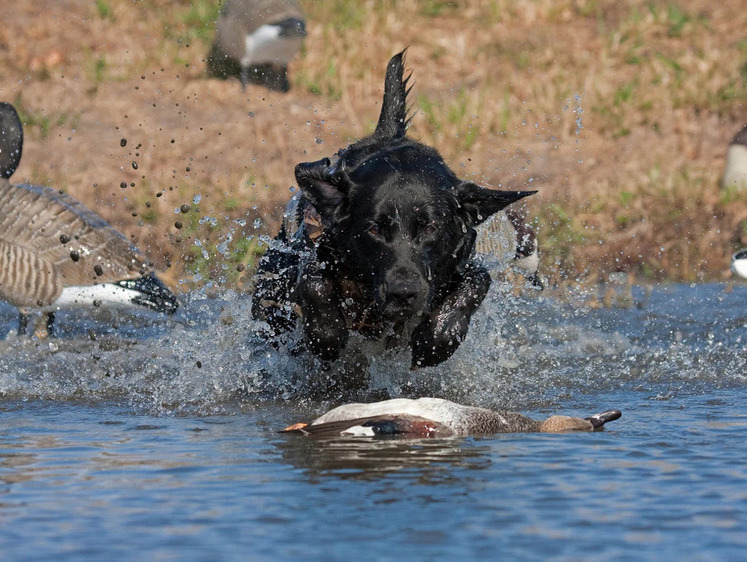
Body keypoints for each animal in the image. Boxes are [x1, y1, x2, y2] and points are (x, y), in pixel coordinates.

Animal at [254, 51, 536, 368]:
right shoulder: (313, 252)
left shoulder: (462, 262)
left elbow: (477, 282)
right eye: (374, 229)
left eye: (430, 228)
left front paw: (435, 341)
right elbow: (312, 279)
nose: (403, 293)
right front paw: (325, 335)